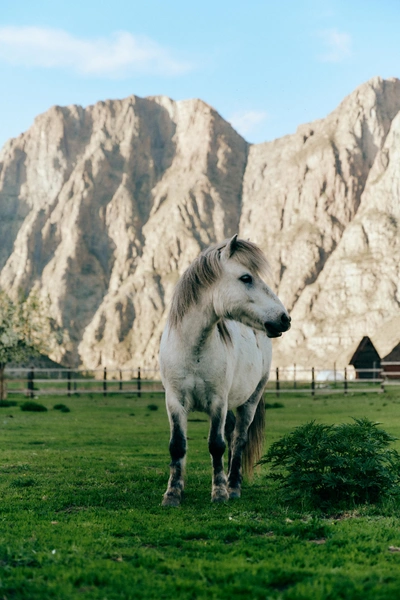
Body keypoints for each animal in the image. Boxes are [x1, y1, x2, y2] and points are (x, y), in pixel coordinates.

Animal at [159, 236, 290, 506]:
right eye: (246, 278)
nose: (284, 318)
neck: (193, 350)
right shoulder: (175, 401)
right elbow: (177, 445)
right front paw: (173, 493)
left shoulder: (217, 401)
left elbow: (216, 445)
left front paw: (219, 492)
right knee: (231, 435)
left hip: (250, 400)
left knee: (238, 439)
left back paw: (234, 486)